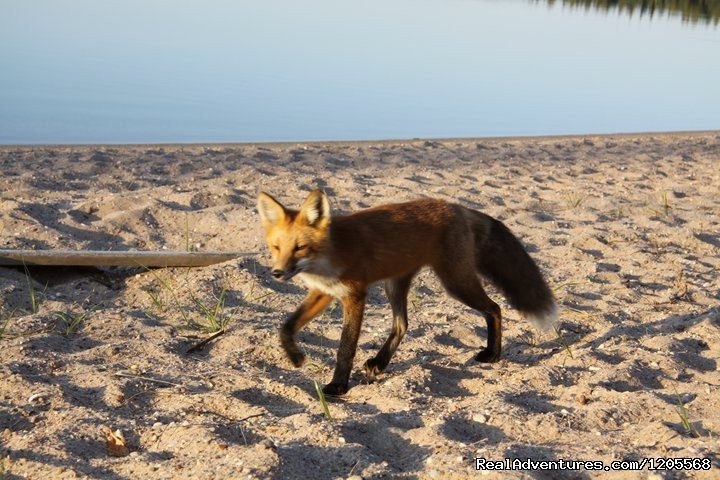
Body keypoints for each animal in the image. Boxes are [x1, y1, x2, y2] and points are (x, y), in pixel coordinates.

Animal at [258, 189, 556, 396]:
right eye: (276, 247)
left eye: (300, 248)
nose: (277, 273)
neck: (330, 254)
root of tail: (456, 206)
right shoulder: (324, 292)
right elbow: (287, 326)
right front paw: (295, 357)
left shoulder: (355, 295)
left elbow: (346, 347)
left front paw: (338, 386)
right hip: (395, 286)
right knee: (402, 324)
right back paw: (380, 363)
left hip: (456, 282)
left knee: (494, 308)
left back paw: (492, 354)